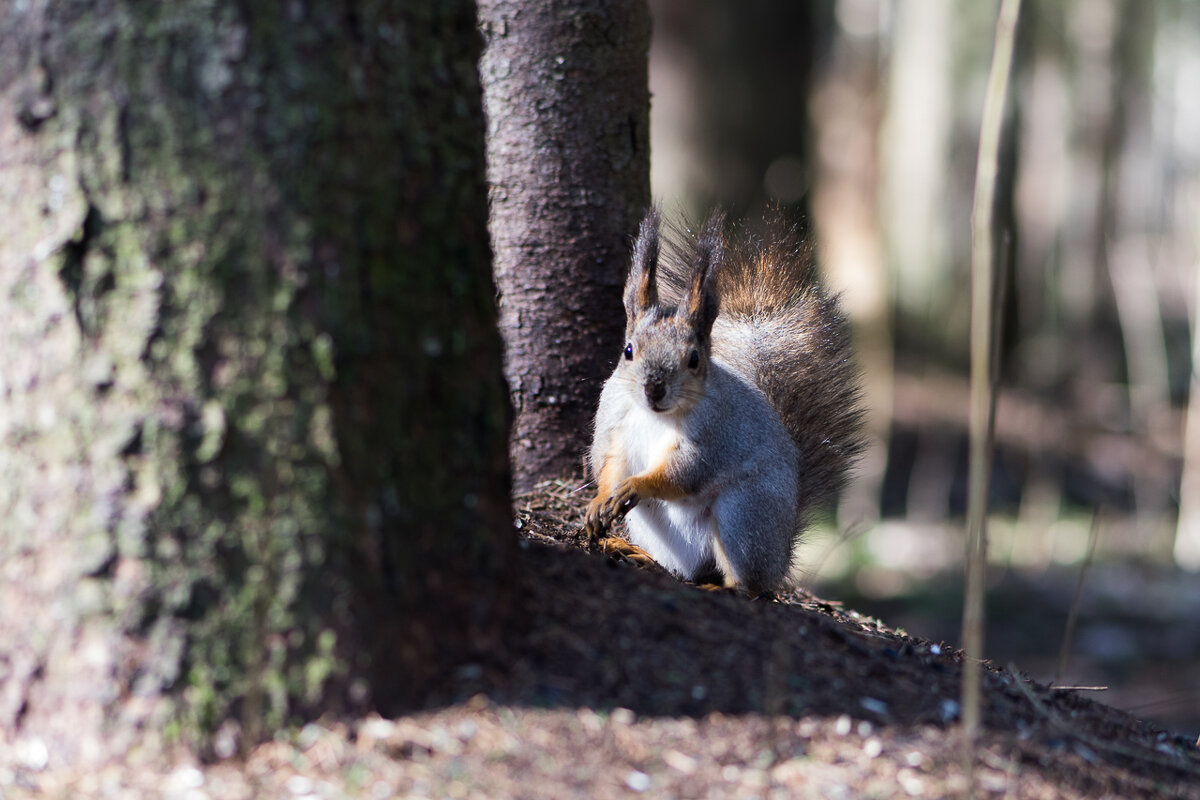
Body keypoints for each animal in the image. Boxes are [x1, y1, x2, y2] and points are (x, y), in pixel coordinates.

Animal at [583, 206, 859, 594]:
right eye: (628, 351)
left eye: (694, 359)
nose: (654, 390)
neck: (655, 415)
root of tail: (781, 557)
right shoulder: (614, 422)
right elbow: (607, 463)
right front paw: (599, 501)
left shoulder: (714, 434)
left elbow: (686, 473)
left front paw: (638, 484)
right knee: (688, 570)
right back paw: (642, 556)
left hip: (743, 516)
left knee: (749, 585)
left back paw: (723, 586)